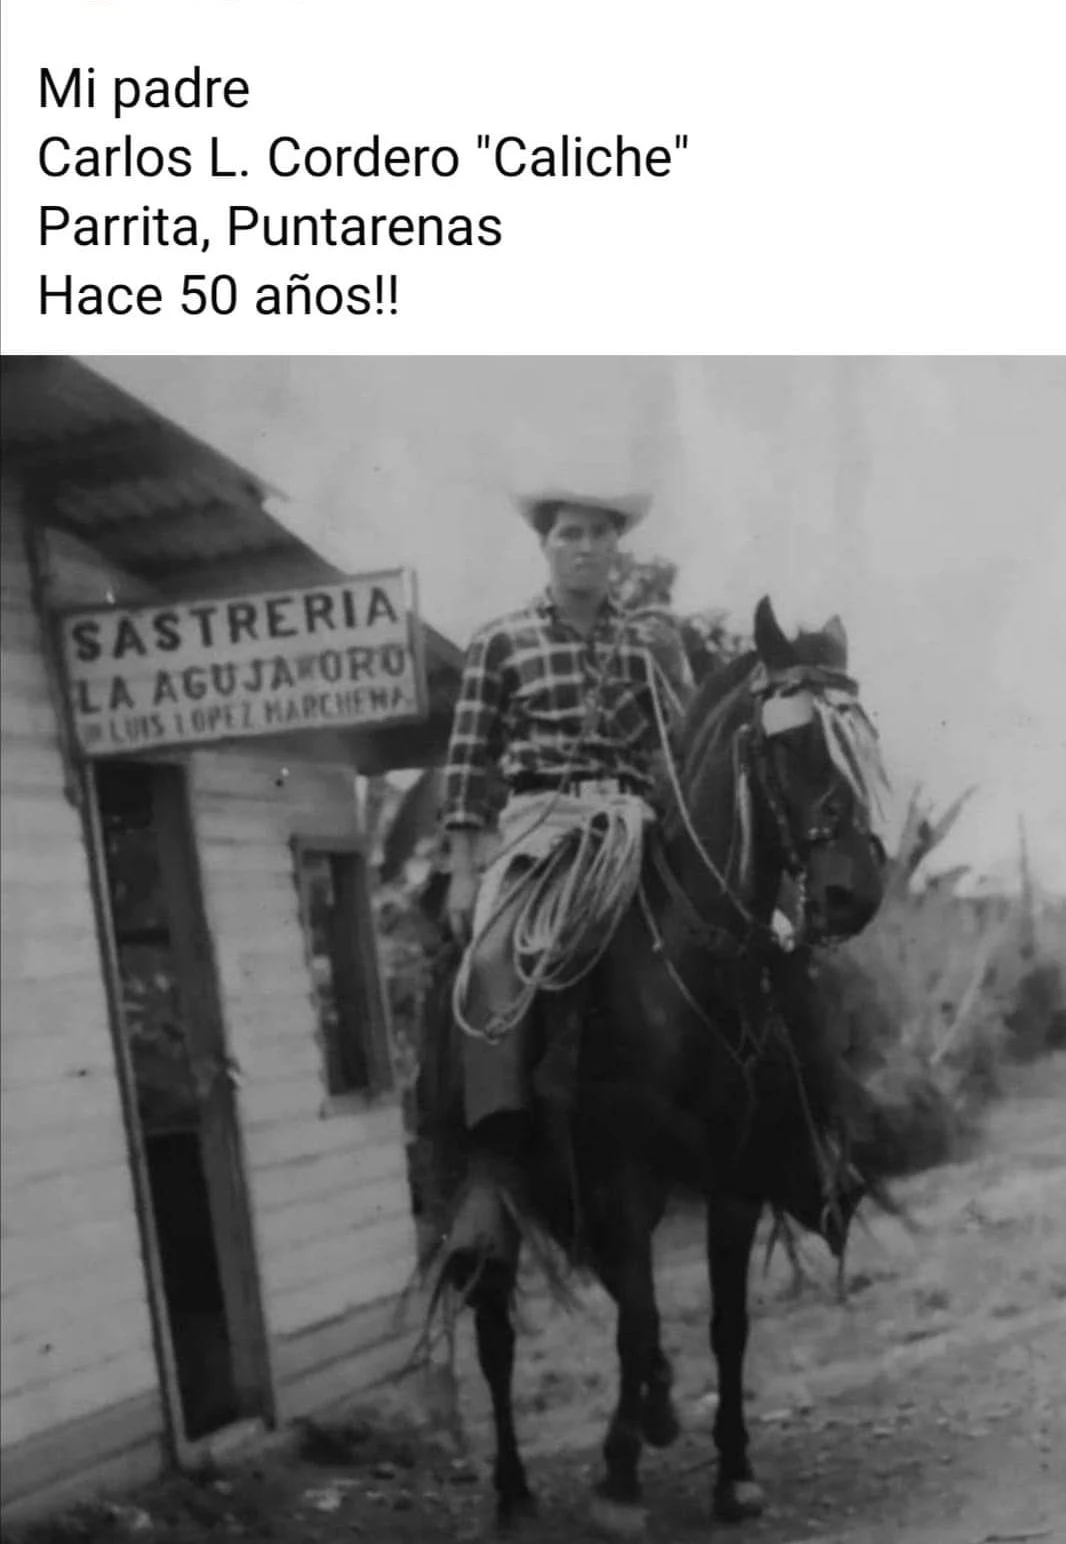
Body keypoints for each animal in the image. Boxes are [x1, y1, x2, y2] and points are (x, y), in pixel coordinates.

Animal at [417, 595, 894, 1537]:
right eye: (792, 741)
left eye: (861, 738)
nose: (853, 891)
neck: (684, 961)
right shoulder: (626, 1174)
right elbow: (636, 1319)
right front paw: (616, 1477)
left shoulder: (729, 1179)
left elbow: (723, 1322)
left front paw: (732, 1471)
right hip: (487, 1191)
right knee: (494, 1330)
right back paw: (515, 1490)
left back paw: (659, 1408)